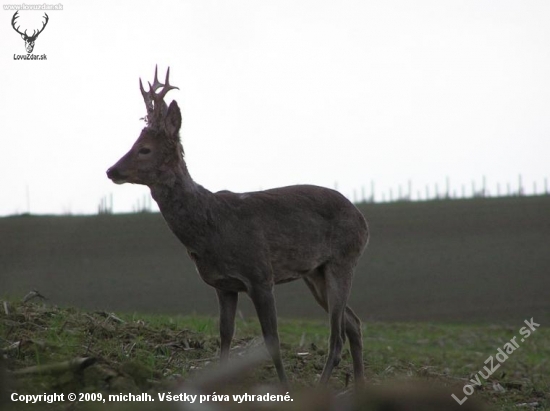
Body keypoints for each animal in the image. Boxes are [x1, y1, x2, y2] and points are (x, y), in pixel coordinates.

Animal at [106, 66, 370, 388]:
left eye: (144, 149)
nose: (111, 170)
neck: (212, 226)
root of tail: (363, 219)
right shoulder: (224, 285)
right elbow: (225, 337)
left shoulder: (260, 275)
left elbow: (272, 340)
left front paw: (285, 388)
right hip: (315, 273)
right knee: (354, 323)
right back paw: (358, 388)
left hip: (343, 260)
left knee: (338, 336)